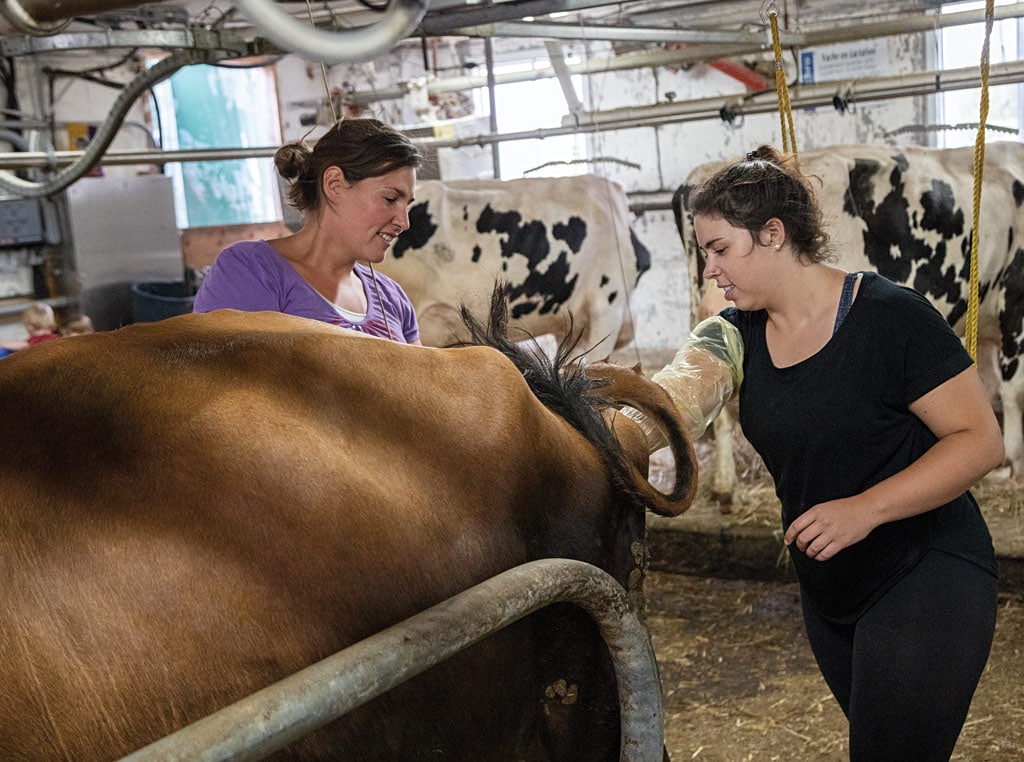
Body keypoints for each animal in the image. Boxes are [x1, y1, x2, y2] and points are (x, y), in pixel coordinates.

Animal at [671, 143, 1024, 508]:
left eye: (720, 249)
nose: (715, 275)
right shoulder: (1014, 296)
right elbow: (1013, 388)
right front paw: (1012, 461)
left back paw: (725, 489)